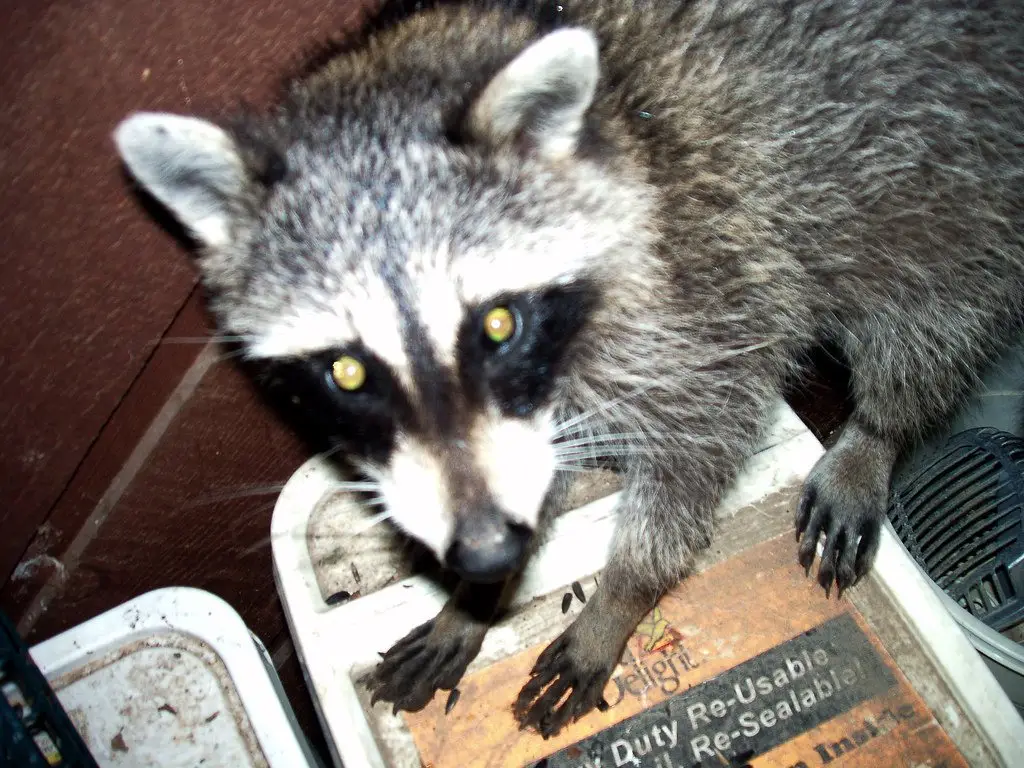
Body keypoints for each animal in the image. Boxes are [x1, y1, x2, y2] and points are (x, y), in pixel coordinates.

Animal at [113, 0, 1024, 738]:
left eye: (497, 322)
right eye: (345, 371)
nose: (481, 554)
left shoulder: (706, 286)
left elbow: (701, 444)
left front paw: (618, 596)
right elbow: (534, 461)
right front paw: (477, 596)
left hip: (960, 192)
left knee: (929, 320)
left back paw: (877, 432)